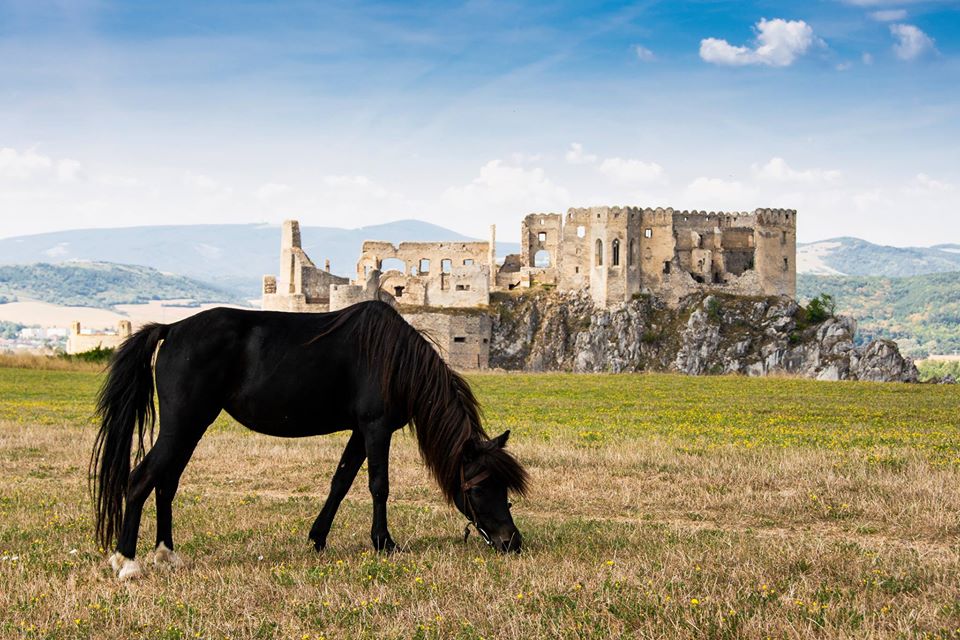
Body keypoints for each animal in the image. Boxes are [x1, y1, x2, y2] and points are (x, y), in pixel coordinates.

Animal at [91, 300, 528, 580]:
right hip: (183, 425)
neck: (394, 357)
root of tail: (171, 329)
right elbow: (378, 485)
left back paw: (166, 554)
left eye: (506, 488)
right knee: (140, 480)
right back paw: (127, 562)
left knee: (166, 484)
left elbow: (341, 481)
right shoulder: (376, 427)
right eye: (478, 488)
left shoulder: (360, 430)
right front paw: (384, 542)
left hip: (191, 428)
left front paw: (318, 538)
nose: (512, 542)